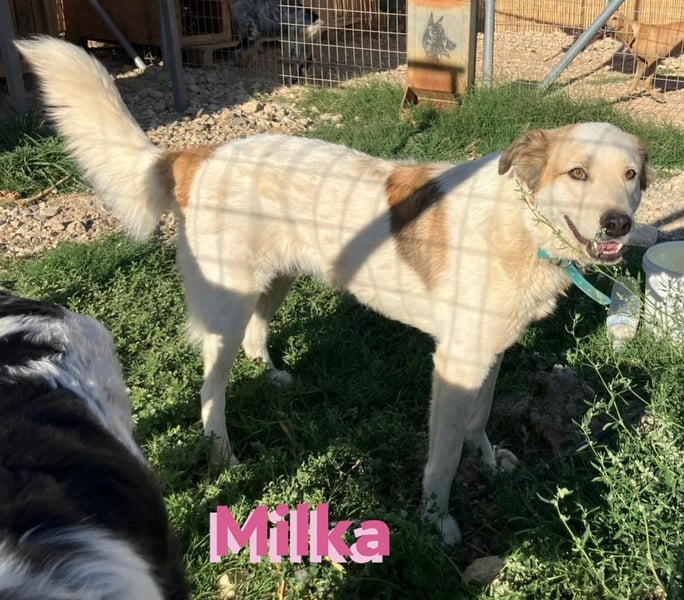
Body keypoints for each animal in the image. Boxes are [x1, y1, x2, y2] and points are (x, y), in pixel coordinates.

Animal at [17, 37, 650, 544]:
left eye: (631, 177)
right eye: (576, 173)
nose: (618, 225)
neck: (523, 226)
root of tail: (198, 154)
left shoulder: (490, 353)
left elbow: (479, 422)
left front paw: (490, 465)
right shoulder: (456, 363)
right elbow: (443, 459)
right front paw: (438, 524)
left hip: (276, 281)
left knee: (256, 336)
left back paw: (273, 376)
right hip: (227, 304)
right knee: (210, 387)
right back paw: (222, 454)